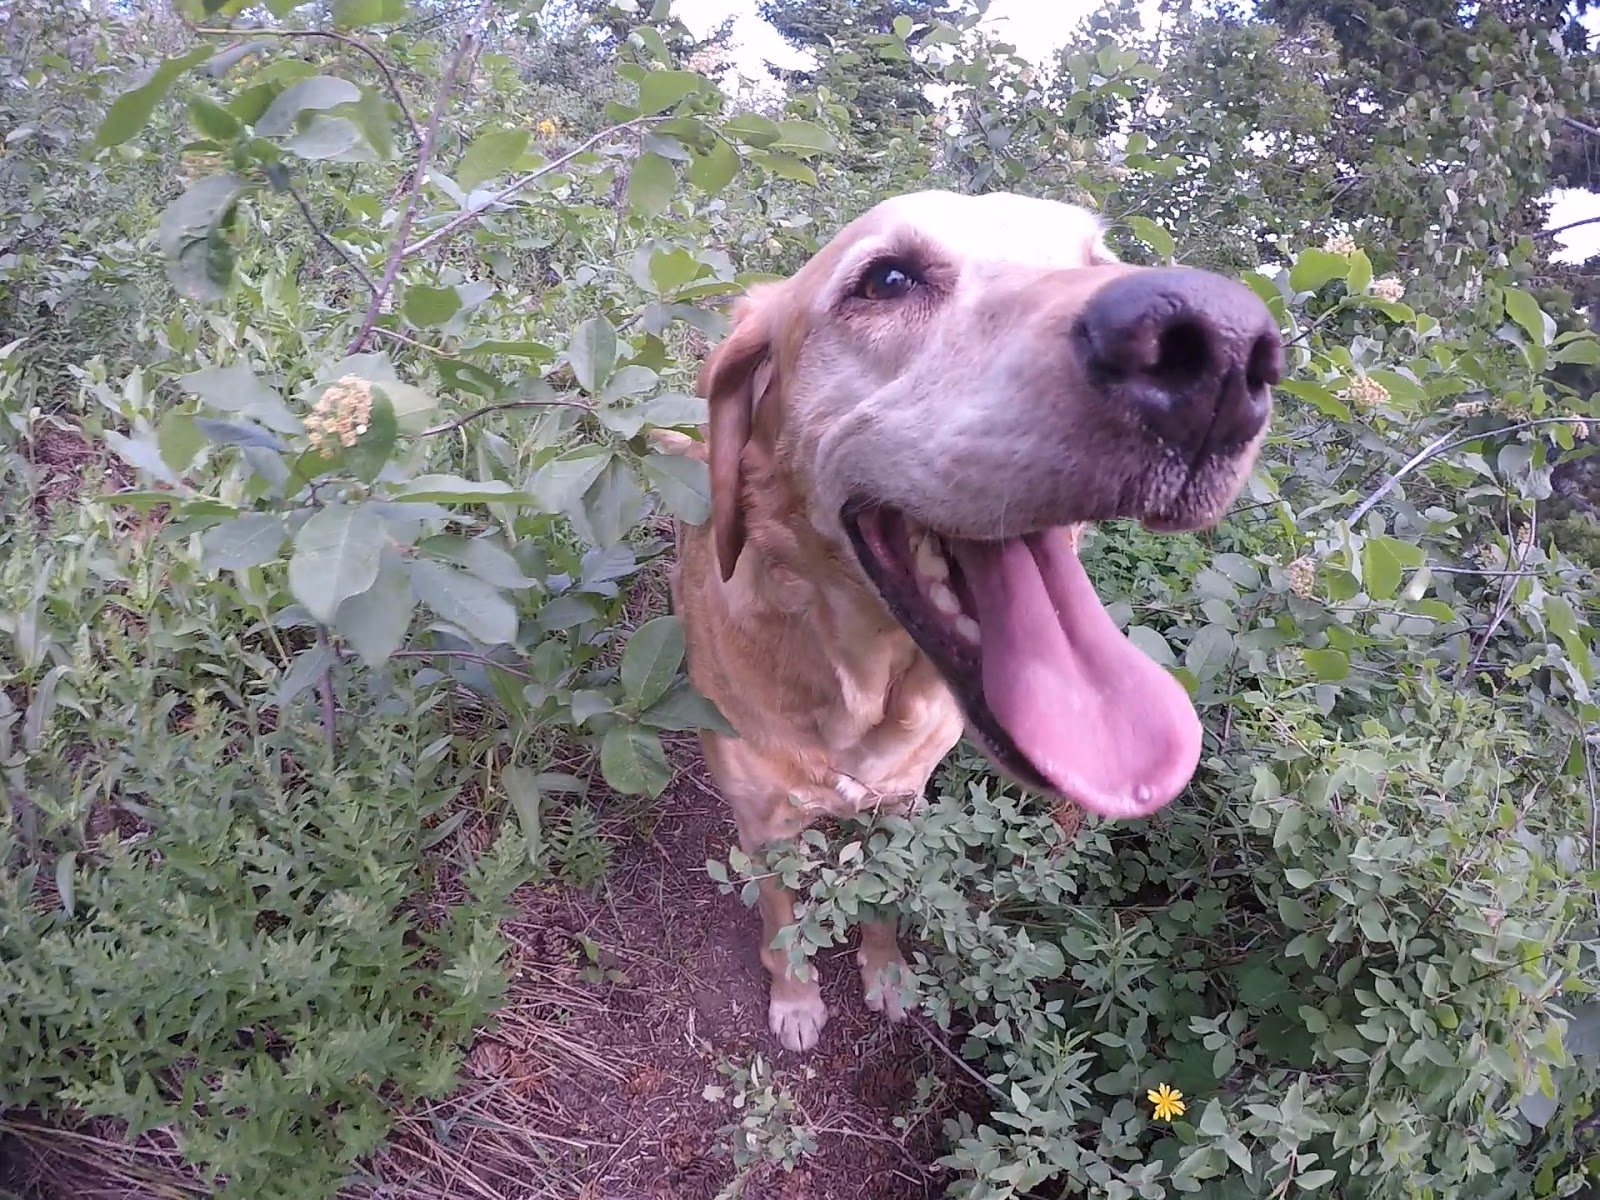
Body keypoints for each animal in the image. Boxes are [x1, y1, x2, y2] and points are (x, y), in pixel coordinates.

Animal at [646, 188, 1273, 1049]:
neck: (858, 688)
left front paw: (885, 973)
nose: (1222, 350)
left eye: (1099, 262)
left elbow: (882, 905)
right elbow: (781, 922)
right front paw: (798, 1000)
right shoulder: (764, 827)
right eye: (888, 279)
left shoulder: (901, 804)